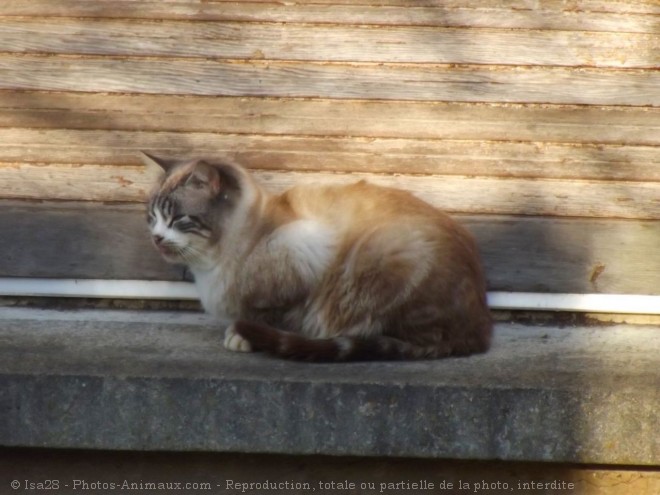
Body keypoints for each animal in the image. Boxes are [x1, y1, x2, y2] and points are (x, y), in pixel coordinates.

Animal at [142, 153, 492, 362]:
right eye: (152, 217)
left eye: (177, 219)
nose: (156, 238)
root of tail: (479, 331)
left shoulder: (304, 254)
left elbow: (271, 316)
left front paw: (241, 336)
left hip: (388, 253)